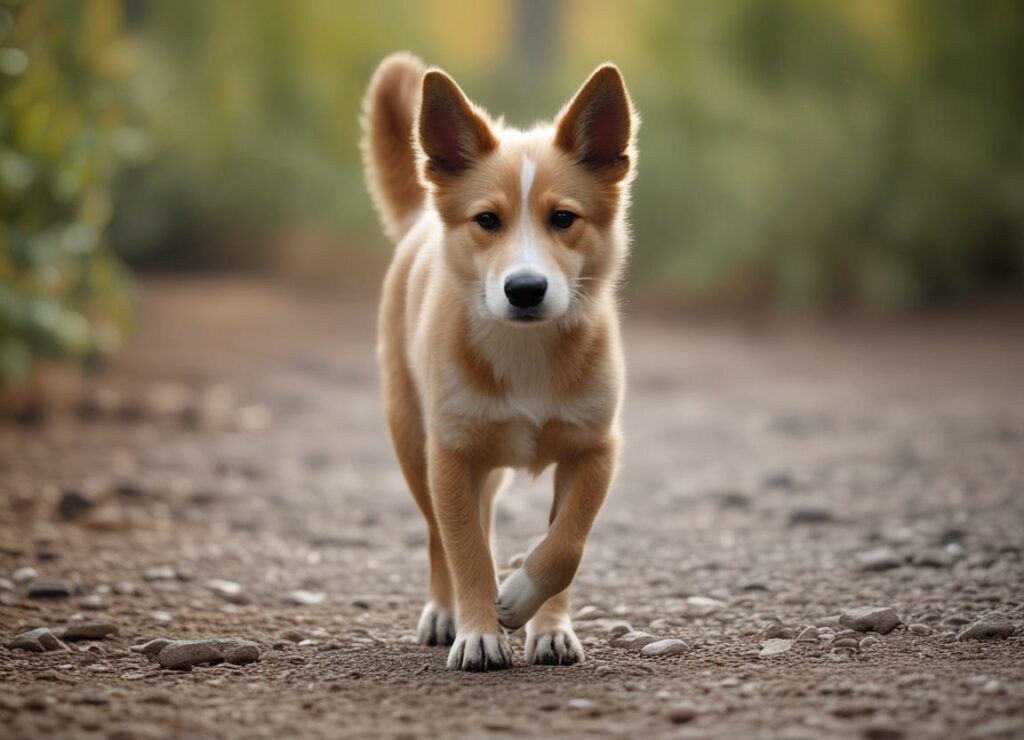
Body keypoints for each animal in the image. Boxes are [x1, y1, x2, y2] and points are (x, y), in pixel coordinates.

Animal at [358, 53, 630, 671]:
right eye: (487, 220)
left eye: (563, 218)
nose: (525, 289)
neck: (526, 348)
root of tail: (419, 218)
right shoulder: (451, 455)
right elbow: (465, 550)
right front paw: (479, 631)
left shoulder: (595, 449)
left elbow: (565, 546)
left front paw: (534, 611)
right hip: (415, 442)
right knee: (440, 536)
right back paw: (445, 612)